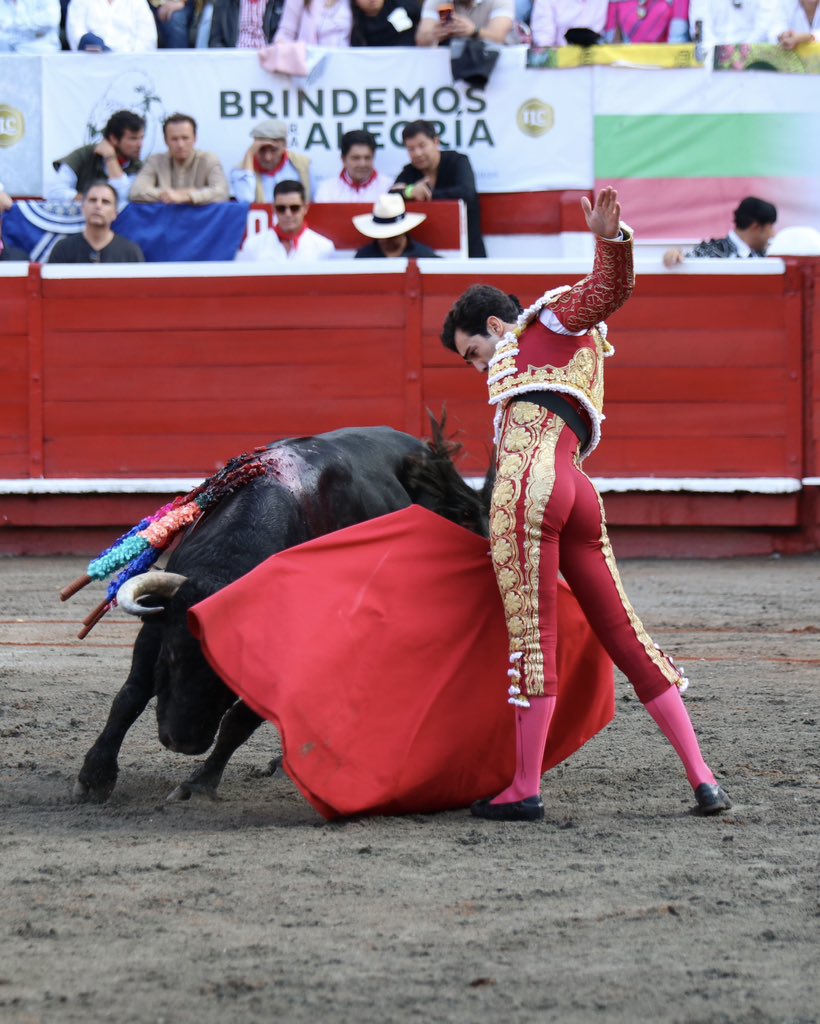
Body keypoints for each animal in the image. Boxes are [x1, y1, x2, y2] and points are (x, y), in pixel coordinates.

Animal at [69, 425, 489, 804]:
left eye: (229, 672)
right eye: (171, 656)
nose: (182, 741)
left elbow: (239, 721)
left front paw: (198, 784)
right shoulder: (157, 627)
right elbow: (131, 694)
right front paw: (94, 776)